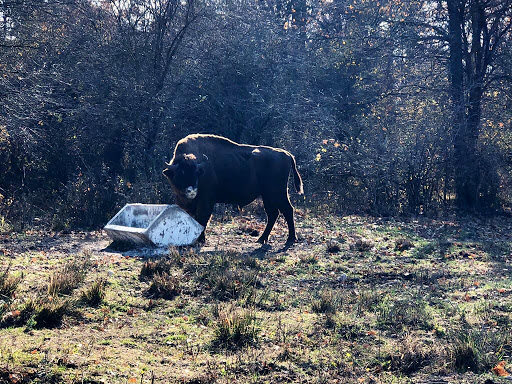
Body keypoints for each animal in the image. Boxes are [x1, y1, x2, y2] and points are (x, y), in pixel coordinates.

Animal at [162, 134, 302, 244]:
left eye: (197, 173)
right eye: (180, 174)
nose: (191, 191)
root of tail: (287, 154)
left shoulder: (205, 201)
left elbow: (201, 219)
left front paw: (200, 240)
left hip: (278, 193)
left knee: (287, 210)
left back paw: (290, 239)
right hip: (268, 195)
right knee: (273, 214)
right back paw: (262, 239)